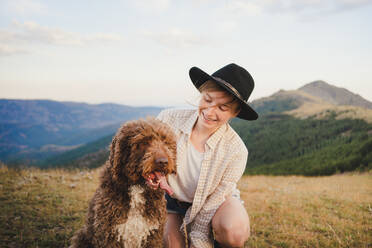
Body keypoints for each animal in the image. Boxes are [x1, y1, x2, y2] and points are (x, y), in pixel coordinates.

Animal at [70, 118, 177, 248]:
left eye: (166, 141)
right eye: (143, 142)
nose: (163, 162)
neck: (137, 190)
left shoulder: (153, 235)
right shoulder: (109, 235)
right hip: (82, 237)